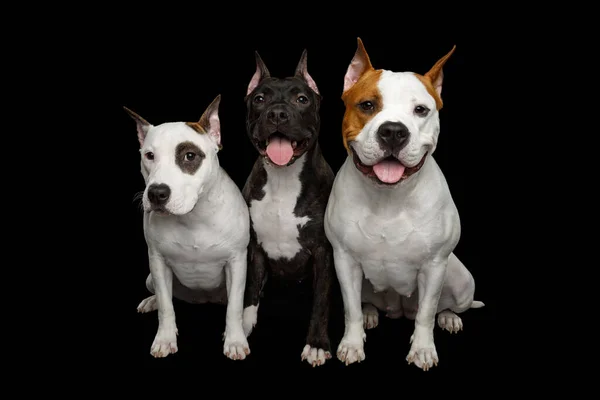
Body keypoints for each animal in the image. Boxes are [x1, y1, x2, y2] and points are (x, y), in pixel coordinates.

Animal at [125, 95, 251, 360]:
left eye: (190, 156)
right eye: (149, 155)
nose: (157, 193)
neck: (193, 218)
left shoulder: (237, 262)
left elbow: (234, 307)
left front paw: (235, 340)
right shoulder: (158, 262)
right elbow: (166, 307)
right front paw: (165, 339)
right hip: (150, 277)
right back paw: (151, 302)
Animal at [324, 39, 482, 370]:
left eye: (421, 110)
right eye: (367, 105)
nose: (394, 131)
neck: (389, 197)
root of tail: (398, 309)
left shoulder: (434, 266)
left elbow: (426, 313)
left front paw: (422, 350)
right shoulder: (344, 260)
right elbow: (350, 309)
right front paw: (352, 344)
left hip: (461, 280)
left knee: (443, 306)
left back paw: (449, 318)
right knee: (365, 303)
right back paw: (371, 313)